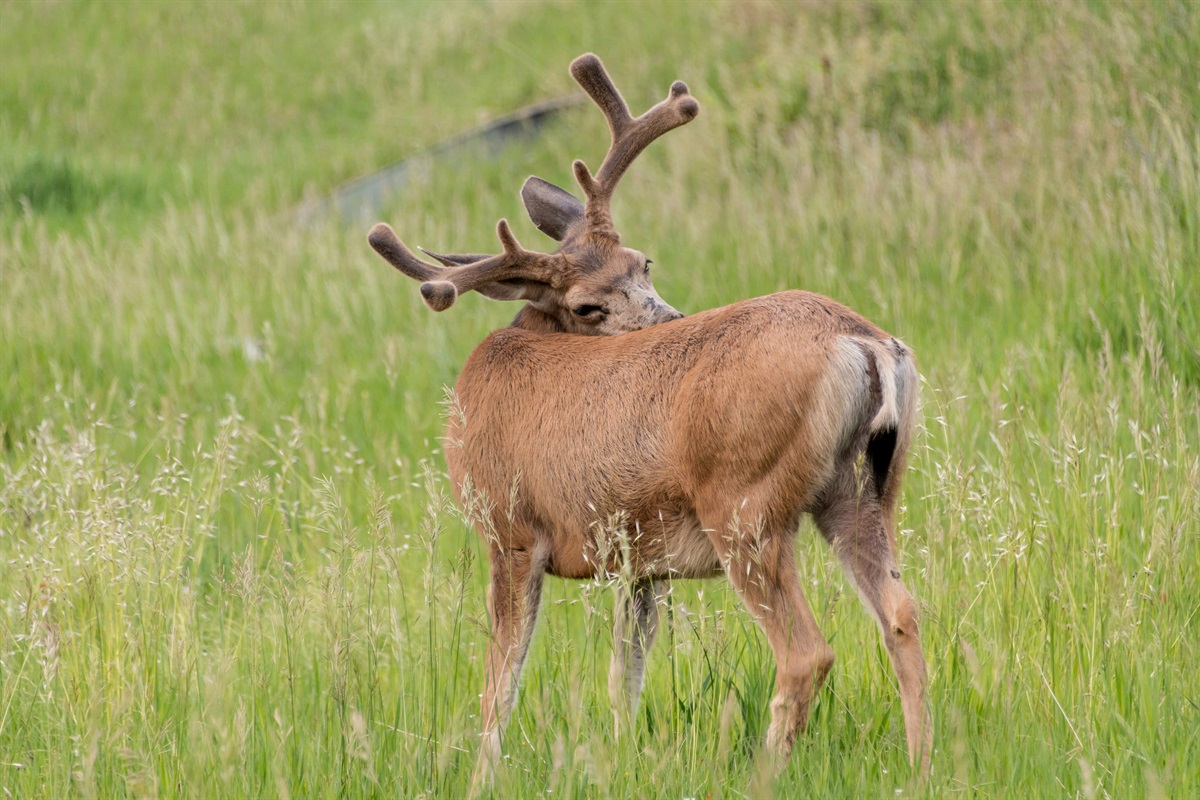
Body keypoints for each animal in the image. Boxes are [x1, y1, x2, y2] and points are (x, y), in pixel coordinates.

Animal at [367, 53, 932, 784]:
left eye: (644, 263)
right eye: (589, 303)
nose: (674, 317)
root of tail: (864, 343)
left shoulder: (510, 527)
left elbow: (500, 682)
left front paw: (482, 777)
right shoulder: (638, 556)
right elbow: (623, 677)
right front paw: (618, 757)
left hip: (743, 504)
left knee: (807, 653)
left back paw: (762, 776)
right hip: (862, 491)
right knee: (902, 614)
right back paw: (923, 767)